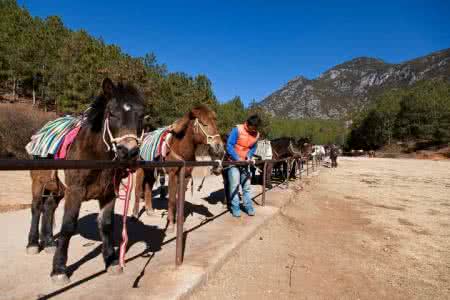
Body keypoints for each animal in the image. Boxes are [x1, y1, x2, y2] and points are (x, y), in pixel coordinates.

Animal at [25, 78, 144, 284]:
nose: (128, 152)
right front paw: (59, 269)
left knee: (49, 207)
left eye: (141, 116)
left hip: (58, 187)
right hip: (39, 182)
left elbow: (106, 225)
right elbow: (68, 226)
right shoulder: (75, 191)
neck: (95, 153)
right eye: (112, 113)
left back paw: (48, 242)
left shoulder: (108, 193)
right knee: (37, 207)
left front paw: (111, 260)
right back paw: (33, 243)